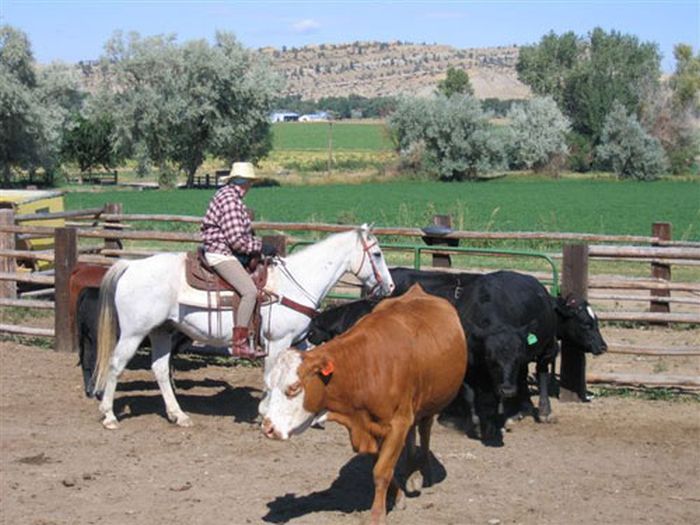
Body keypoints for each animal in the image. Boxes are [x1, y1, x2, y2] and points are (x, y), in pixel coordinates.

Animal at [92, 223, 394, 428]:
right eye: (378, 254)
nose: (390, 287)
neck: (296, 283)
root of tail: (130, 267)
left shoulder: (299, 339)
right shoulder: (277, 341)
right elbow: (271, 376)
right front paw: (265, 412)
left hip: (161, 331)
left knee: (160, 369)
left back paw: (178, 415)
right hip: (134, 333)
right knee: (116, 365)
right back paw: (109, 415)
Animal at [260, 284, 468, 520]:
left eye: (294, 387)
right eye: (269, 385)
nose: (267, 428)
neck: (366, 366)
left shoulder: (398, 423)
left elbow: (381, 471)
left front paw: (377, 515)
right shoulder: (371, 426)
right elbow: (380, 465)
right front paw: (398, 497)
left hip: (430, 403)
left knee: (424, 431)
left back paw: (424, 471)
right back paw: (411, 471)